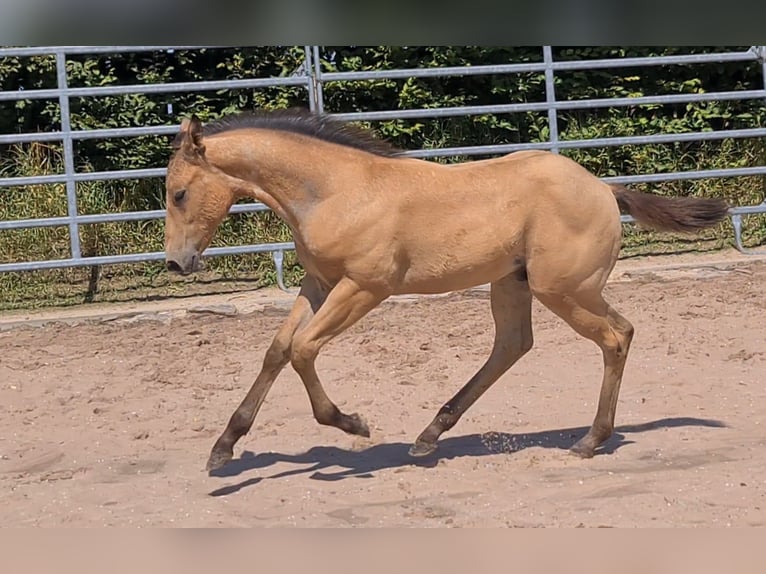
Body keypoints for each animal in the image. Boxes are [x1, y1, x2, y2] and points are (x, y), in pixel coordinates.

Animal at [164, 108, 732, 472]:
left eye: (179, 192)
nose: (175, 262)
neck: (335, 191)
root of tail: (603, 188)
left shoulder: (365, 287)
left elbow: (303, 349)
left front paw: (353, 424)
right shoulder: (320, 283)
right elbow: (278, 349)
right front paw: (224, 446)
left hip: (564, 289)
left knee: (616, 336)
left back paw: (590, 441)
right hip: (514, 283)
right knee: (515, 345)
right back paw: (430, 435)